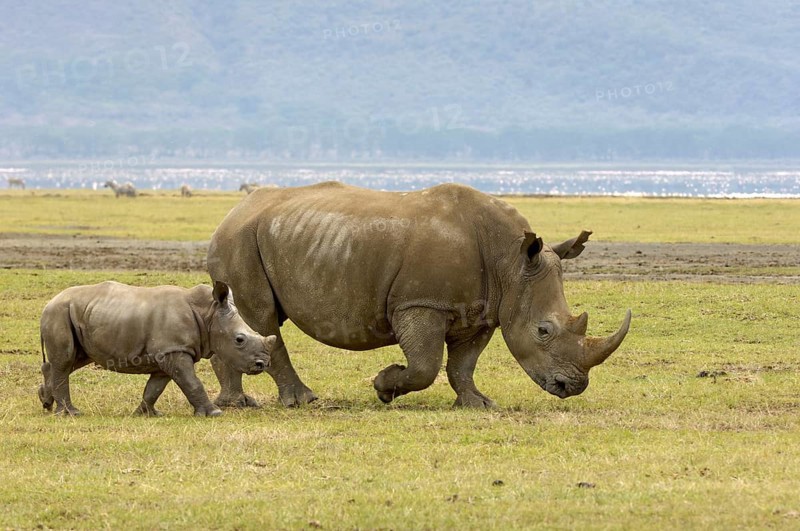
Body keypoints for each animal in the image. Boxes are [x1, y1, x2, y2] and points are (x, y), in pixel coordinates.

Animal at [38, 281, 276, 417]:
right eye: (239, 340)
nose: (262, 364)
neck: (208, 313)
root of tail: (48, 303)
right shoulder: (175, 350)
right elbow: (192, 382)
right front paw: (214, 413)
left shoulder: (168, 352)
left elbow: (154, 388)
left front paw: (146, 414)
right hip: (59, 313)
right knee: (66, 361)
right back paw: (71, 414)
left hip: (79, 314)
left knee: (73, 360)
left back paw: (46, 401)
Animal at [207, 182, 631, 408]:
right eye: (543, 331)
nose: (572, 387)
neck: (510, 262)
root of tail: (231, 213)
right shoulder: (420, 303)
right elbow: (426, 365)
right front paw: (384, 386)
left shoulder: (484, 310)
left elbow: (463, 364)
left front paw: (477, 404)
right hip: (239, 242)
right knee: (261, 319)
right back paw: (301, 401)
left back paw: (234, 404)